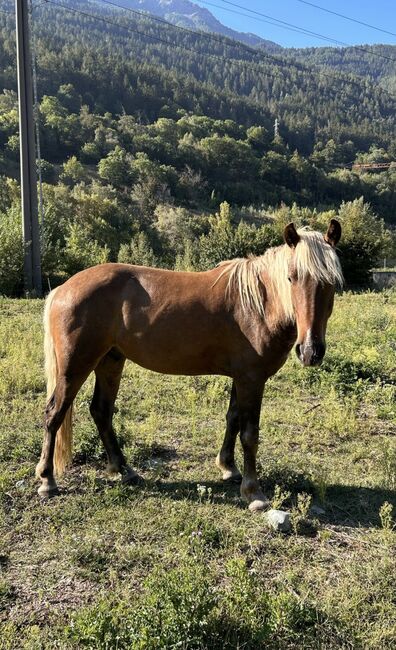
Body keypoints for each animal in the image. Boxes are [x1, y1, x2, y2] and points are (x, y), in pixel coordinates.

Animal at [35, 220, 342, 508]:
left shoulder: (241, 377)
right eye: (291, 277)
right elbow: (249, 434)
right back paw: (47, 480)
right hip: (75, 366)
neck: (258, 305)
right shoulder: (252, 379)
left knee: (101, 411)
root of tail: (63, 289)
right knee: (54, 414)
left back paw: (124, 470)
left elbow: (232, 419)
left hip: (110, 360)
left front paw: (228, 468)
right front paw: (253, 491)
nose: (310, 351)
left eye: (332, 283)